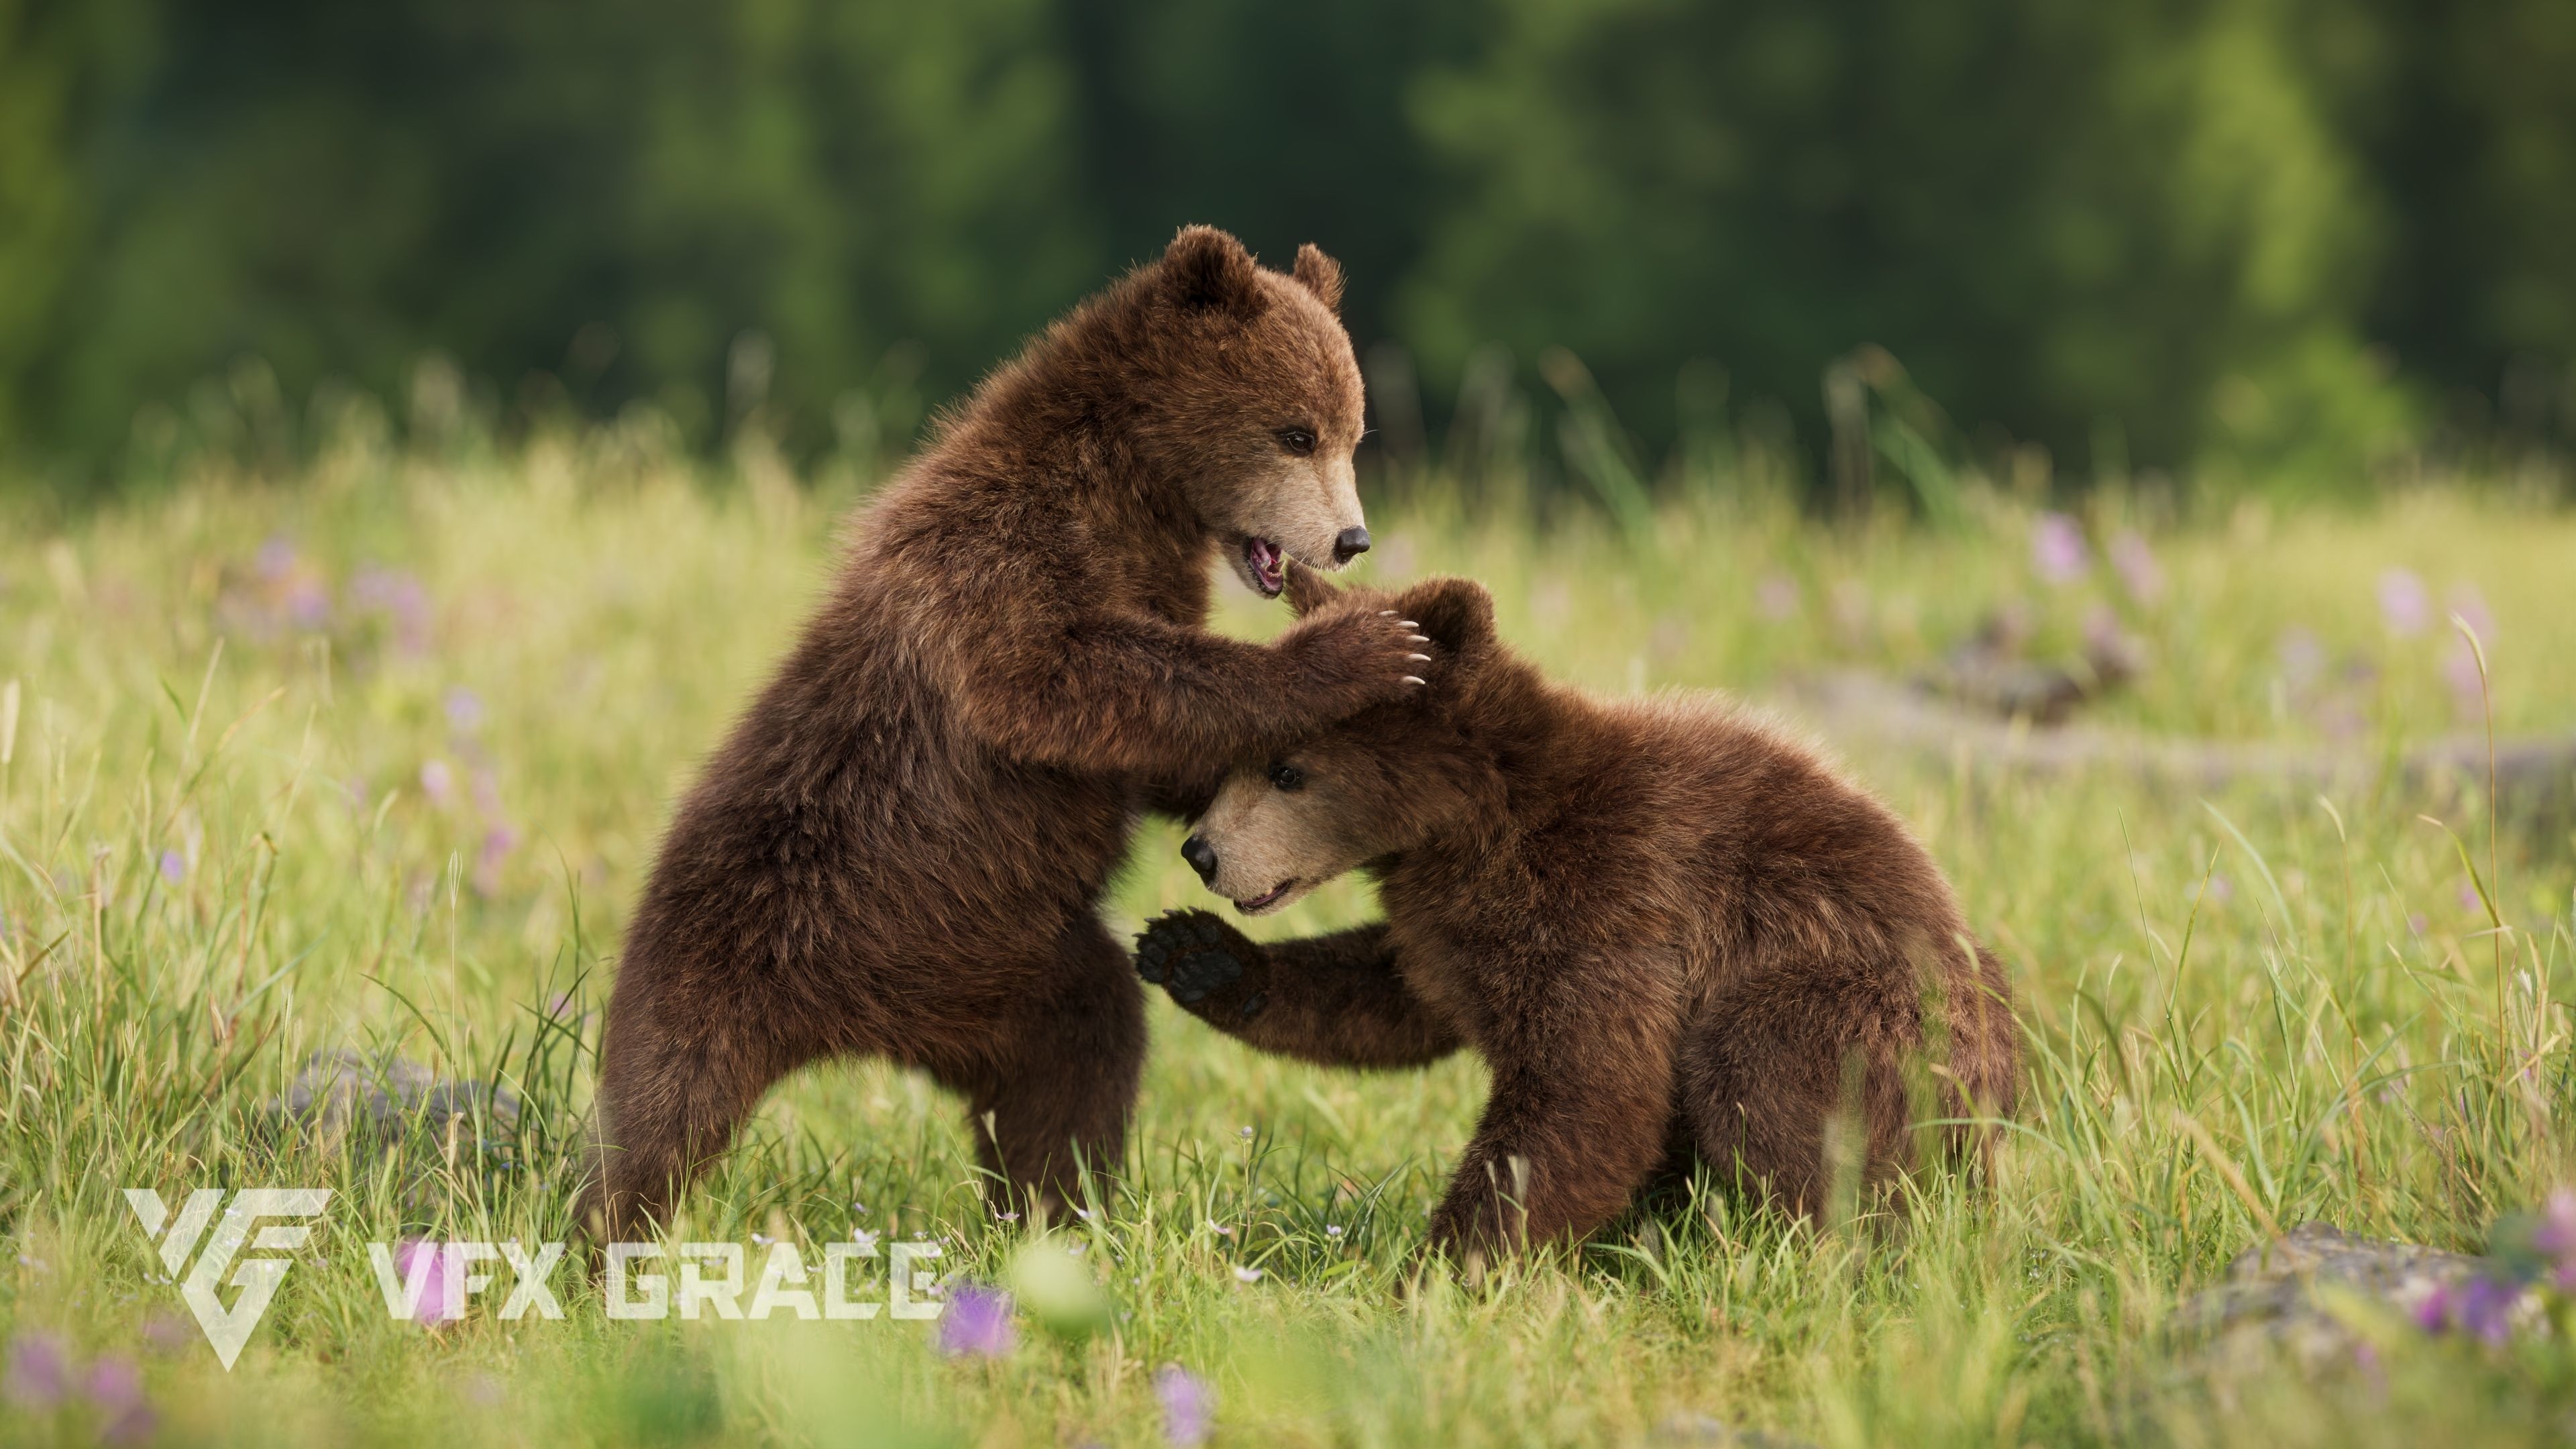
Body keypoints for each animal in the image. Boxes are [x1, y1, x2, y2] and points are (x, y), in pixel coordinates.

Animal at [585, 228, 1434, 1239]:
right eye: (1295, 432)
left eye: (1353, 433)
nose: (1352, 540)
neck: (1136, 496)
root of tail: (850, 1030)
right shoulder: (1000, 557)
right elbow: (1072, 679)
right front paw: (1369, 647)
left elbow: (1153, 751)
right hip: (746, 936)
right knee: (657, 1118)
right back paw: (607, 1228)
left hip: (1003, 967)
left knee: (1079, 1059)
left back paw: (1054, 1209)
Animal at [1134, 564, 2019, 1265]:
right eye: (1237, 757)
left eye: (1288, 772)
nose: (1203, 851)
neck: (1473, 829)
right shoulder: (1452, 928)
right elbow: (1391, 995)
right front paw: (1191, 953)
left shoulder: (1613, 897)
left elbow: (1588, 1090)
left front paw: (1440, 1270)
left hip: (1874, 1009)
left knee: (1764, 1066)